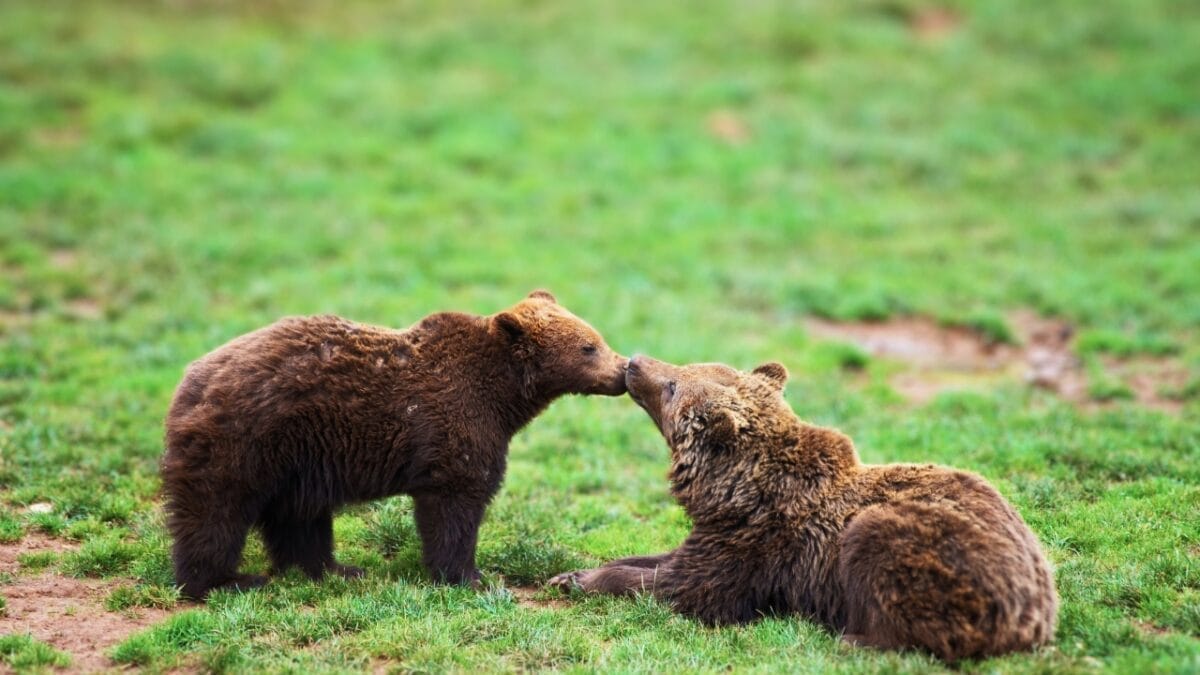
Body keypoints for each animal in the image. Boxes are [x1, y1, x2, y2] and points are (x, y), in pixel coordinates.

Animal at [162, 290, 628, 599]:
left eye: (597, 338)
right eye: (589, 347)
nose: (623, 369)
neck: (503, 397)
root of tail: (190, 380)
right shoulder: (454, 426)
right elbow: (455, 506)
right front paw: (470, 576)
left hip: (295, 455)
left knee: (299, 517)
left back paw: (335, 569)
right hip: (245, 440)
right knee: (216, 511)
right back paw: (223, 580)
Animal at [549, 354, 1057, 663]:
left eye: (672, 386)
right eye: (686, 366)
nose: (635, 362)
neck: (733, 491)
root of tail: (1034, 621)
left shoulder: (758, 547)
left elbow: (687, 588)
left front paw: (586, 582)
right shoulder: (717, 531)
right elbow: (658, 560)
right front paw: (570, 573)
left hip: (943, 562)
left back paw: (855, 636)